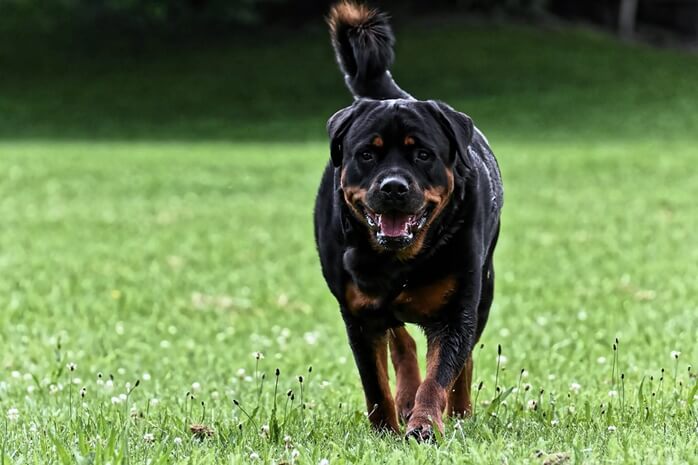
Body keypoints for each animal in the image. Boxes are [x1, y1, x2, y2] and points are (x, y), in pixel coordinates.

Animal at [314, 0, 500, 440]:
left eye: (423, 154)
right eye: (367, 154)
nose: (394, 186)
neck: (399, 261)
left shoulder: (457, 311)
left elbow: (442, 373)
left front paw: (425, 424)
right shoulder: (357, 313)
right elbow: (374, 382)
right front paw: (386, 427)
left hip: (484, 289)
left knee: (462, 360)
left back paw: (459, 411)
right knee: (402, 342)